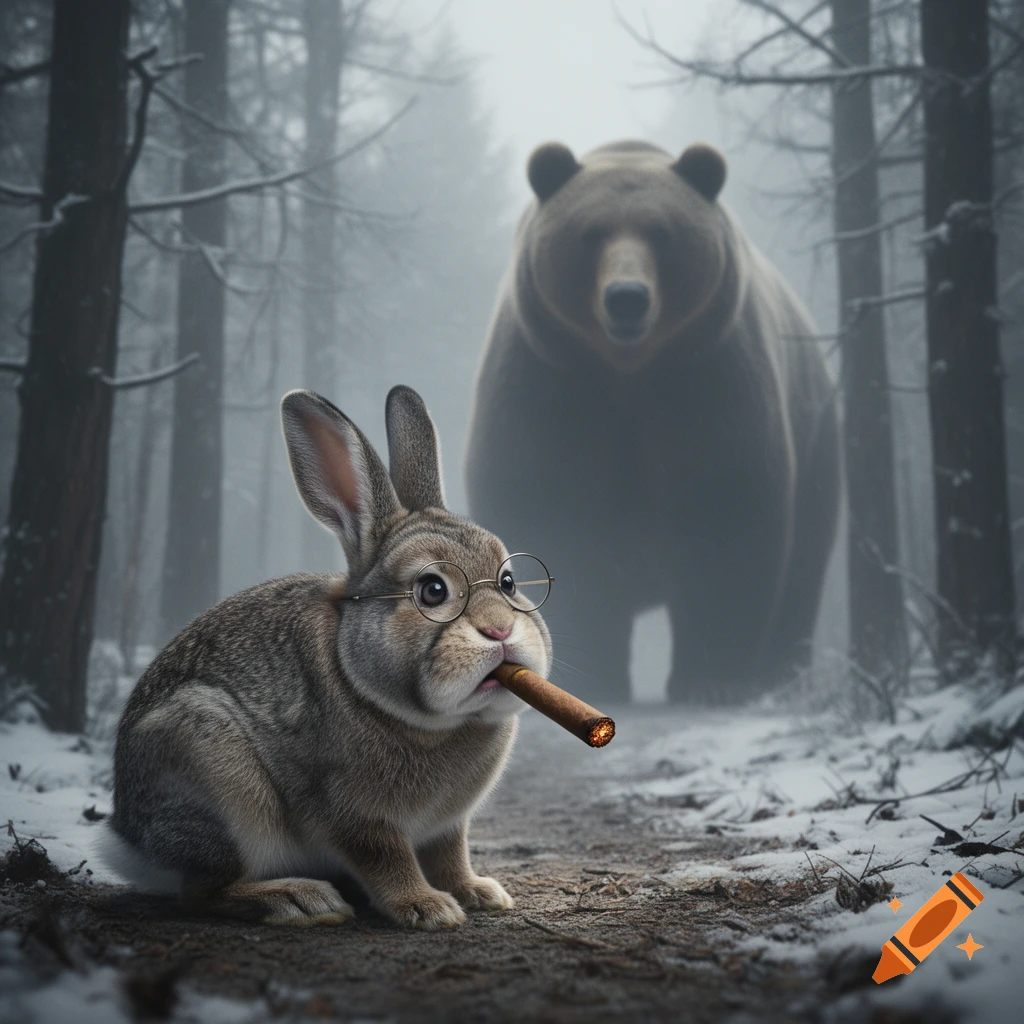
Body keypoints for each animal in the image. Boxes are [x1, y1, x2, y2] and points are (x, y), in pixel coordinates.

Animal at [98, 385, 552, 930]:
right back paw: (299, 900)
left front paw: (478, 892)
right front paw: (427, 907)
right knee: (203, 893)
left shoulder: (447, 826)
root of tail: (130, 841)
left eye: (508, 582)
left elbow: (450, 856)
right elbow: (385, 857)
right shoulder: (348, 812)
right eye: (432, 590)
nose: (500, 630)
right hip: (217, 775)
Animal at [464, 140, 840, 706]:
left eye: (663, 232)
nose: (627, 298)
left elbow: (727, 514)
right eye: (591, 232)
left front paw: (713, 678)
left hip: (818, 436)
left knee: (804, 567)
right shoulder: (551, 385)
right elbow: (557, 512)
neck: (629, 373)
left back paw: (780, 674)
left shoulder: (704, 380)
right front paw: (596, 674)